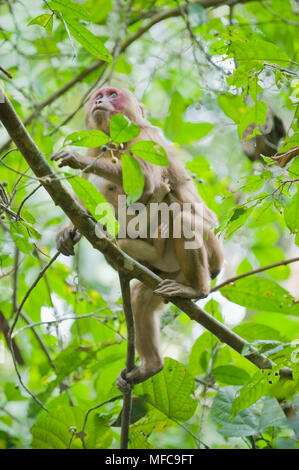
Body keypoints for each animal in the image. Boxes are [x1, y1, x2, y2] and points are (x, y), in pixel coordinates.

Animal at [52, 86, 225, 388]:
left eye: (113, 95)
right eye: (99, 95)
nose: (100, 100)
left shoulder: (145, 137)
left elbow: (146, 181)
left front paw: (79, 161)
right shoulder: (98, 144)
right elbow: (90, 197)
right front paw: (69, 231)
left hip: (212, 250)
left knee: (181, 218)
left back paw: (197, 289)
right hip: (167, 274)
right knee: (141, 297)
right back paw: (152, 366)